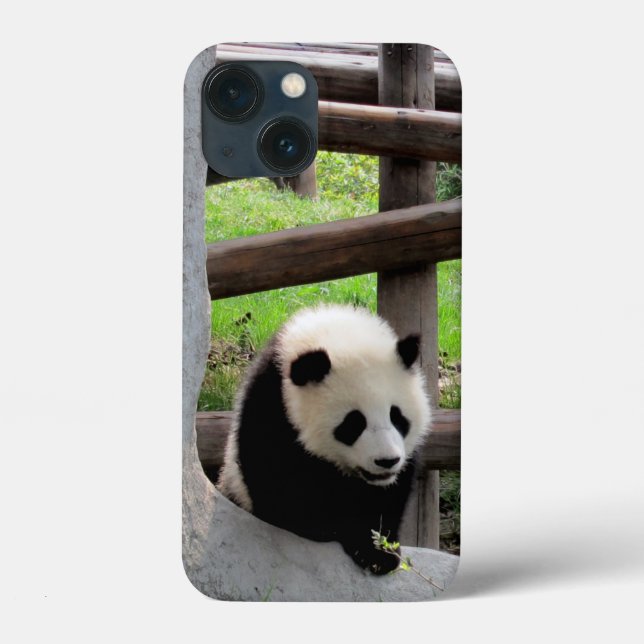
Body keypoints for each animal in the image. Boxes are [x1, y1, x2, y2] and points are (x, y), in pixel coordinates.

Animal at [217, 304, 432, 575]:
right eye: (353, 423)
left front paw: (378, 552)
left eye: (397, 416)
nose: (387, 461)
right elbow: (281, 487)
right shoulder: (273, 406)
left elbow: (390, 495)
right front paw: (334, 530)